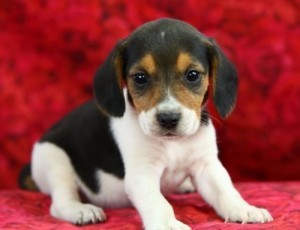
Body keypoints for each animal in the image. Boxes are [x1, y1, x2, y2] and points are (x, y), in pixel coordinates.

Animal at [27, 18, 274, 230]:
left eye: (193, 75)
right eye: (140, 78)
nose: (168, 119)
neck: (174, 143)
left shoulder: (207, 165)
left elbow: (226, 190)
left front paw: (244, 209)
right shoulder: (142, 174)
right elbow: (158, 202)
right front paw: (168, 224)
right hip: (55, 160)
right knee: (60, 201)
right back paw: (81, 210)